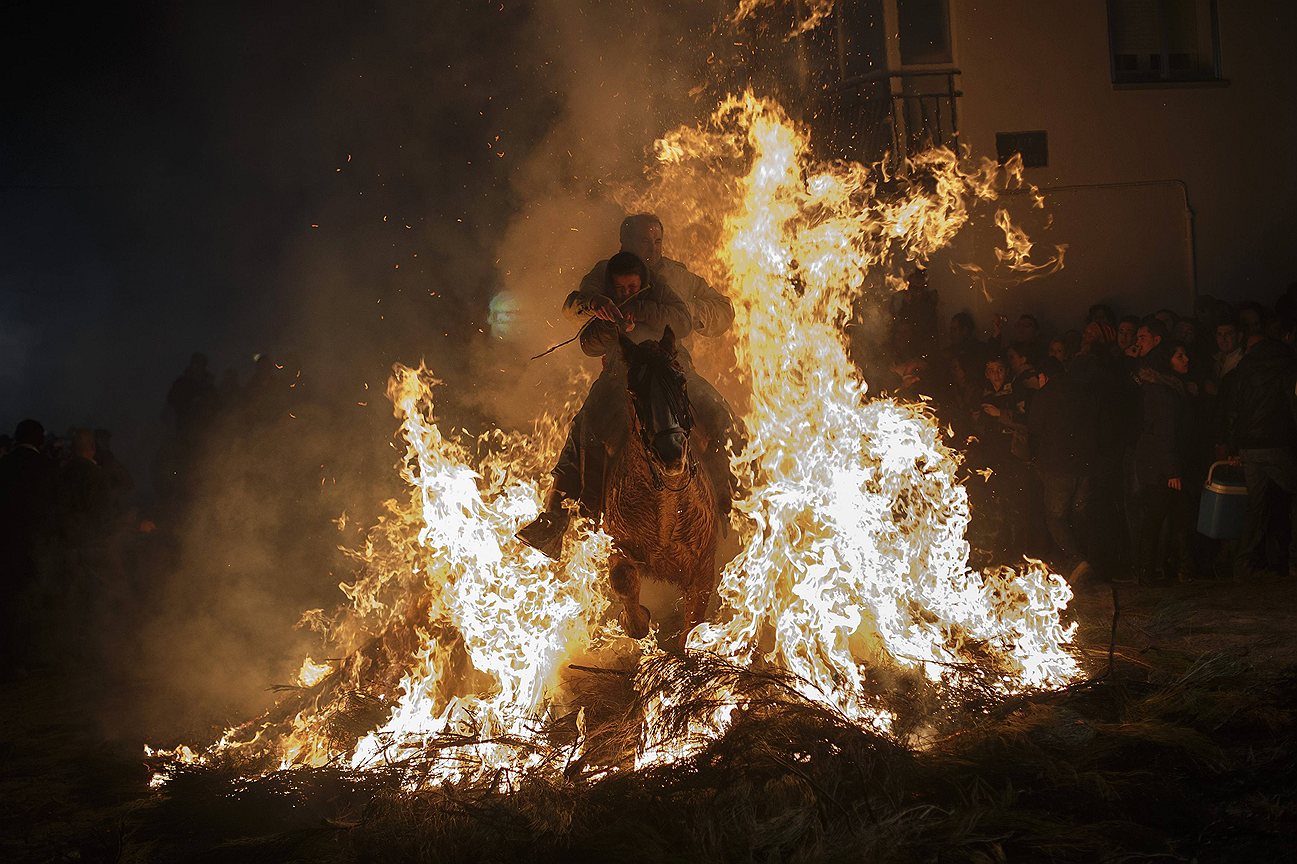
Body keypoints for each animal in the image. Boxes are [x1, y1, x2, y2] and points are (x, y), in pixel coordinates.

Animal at [604, 326, 726, 643]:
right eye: (633, 391)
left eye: (680, 381)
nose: (670, 452)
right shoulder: (616, 545)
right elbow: (623, 581)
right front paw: (634, 620)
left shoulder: (703, 569)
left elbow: (692, 625)